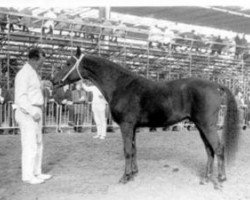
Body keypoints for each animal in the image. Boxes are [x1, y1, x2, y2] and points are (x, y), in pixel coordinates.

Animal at [52, 47, 240, 188]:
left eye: (68, 63)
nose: (53, 80)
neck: (120, 85)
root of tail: (216, 85)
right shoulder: (133, 127)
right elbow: (134, 150)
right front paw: (133, 173)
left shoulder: (126, 125)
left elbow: (127, 151)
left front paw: (125, 177)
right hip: (201, 126)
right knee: (209, 150)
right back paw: (206, 178)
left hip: (207, 125)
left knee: (218, 148)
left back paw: (221, 178)